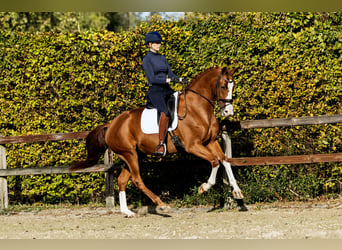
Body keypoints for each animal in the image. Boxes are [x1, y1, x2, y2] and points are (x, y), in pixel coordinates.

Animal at [70, 65, 246, 216]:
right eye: (223, 86)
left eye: (233, 86)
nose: (228, 112)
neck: (197, 108)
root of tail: (111, 124)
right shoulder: (193, 145)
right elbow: (215, 161)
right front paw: (204, 187)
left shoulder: (211, 142)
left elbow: (225, 160)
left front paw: (237, 192)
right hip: (129, 154)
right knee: (136, 180)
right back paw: (161, 204)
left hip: (133, 155)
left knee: (122, 180)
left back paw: (127, 212)